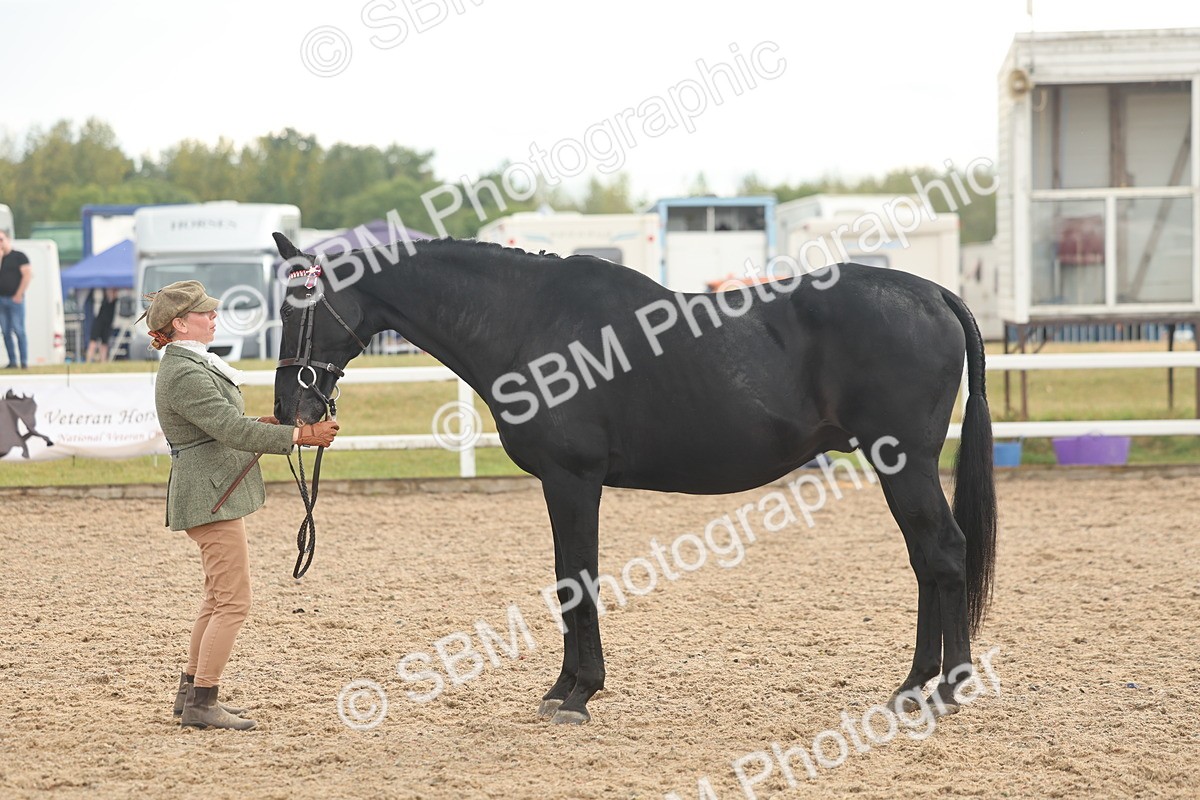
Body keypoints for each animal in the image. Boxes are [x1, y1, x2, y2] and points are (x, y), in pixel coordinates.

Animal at [270, 232, 996, 725]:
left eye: (303, 302)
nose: (290, 411)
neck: (529, 321)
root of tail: (934, 294)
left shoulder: (572, 480)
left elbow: (579, 579)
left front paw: (580, 694)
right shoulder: (560, 485)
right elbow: (565, 578)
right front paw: (560, 688)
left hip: (903, 460)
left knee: (943, 553)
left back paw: (947, 687)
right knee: (926, 560)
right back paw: (913, 686)